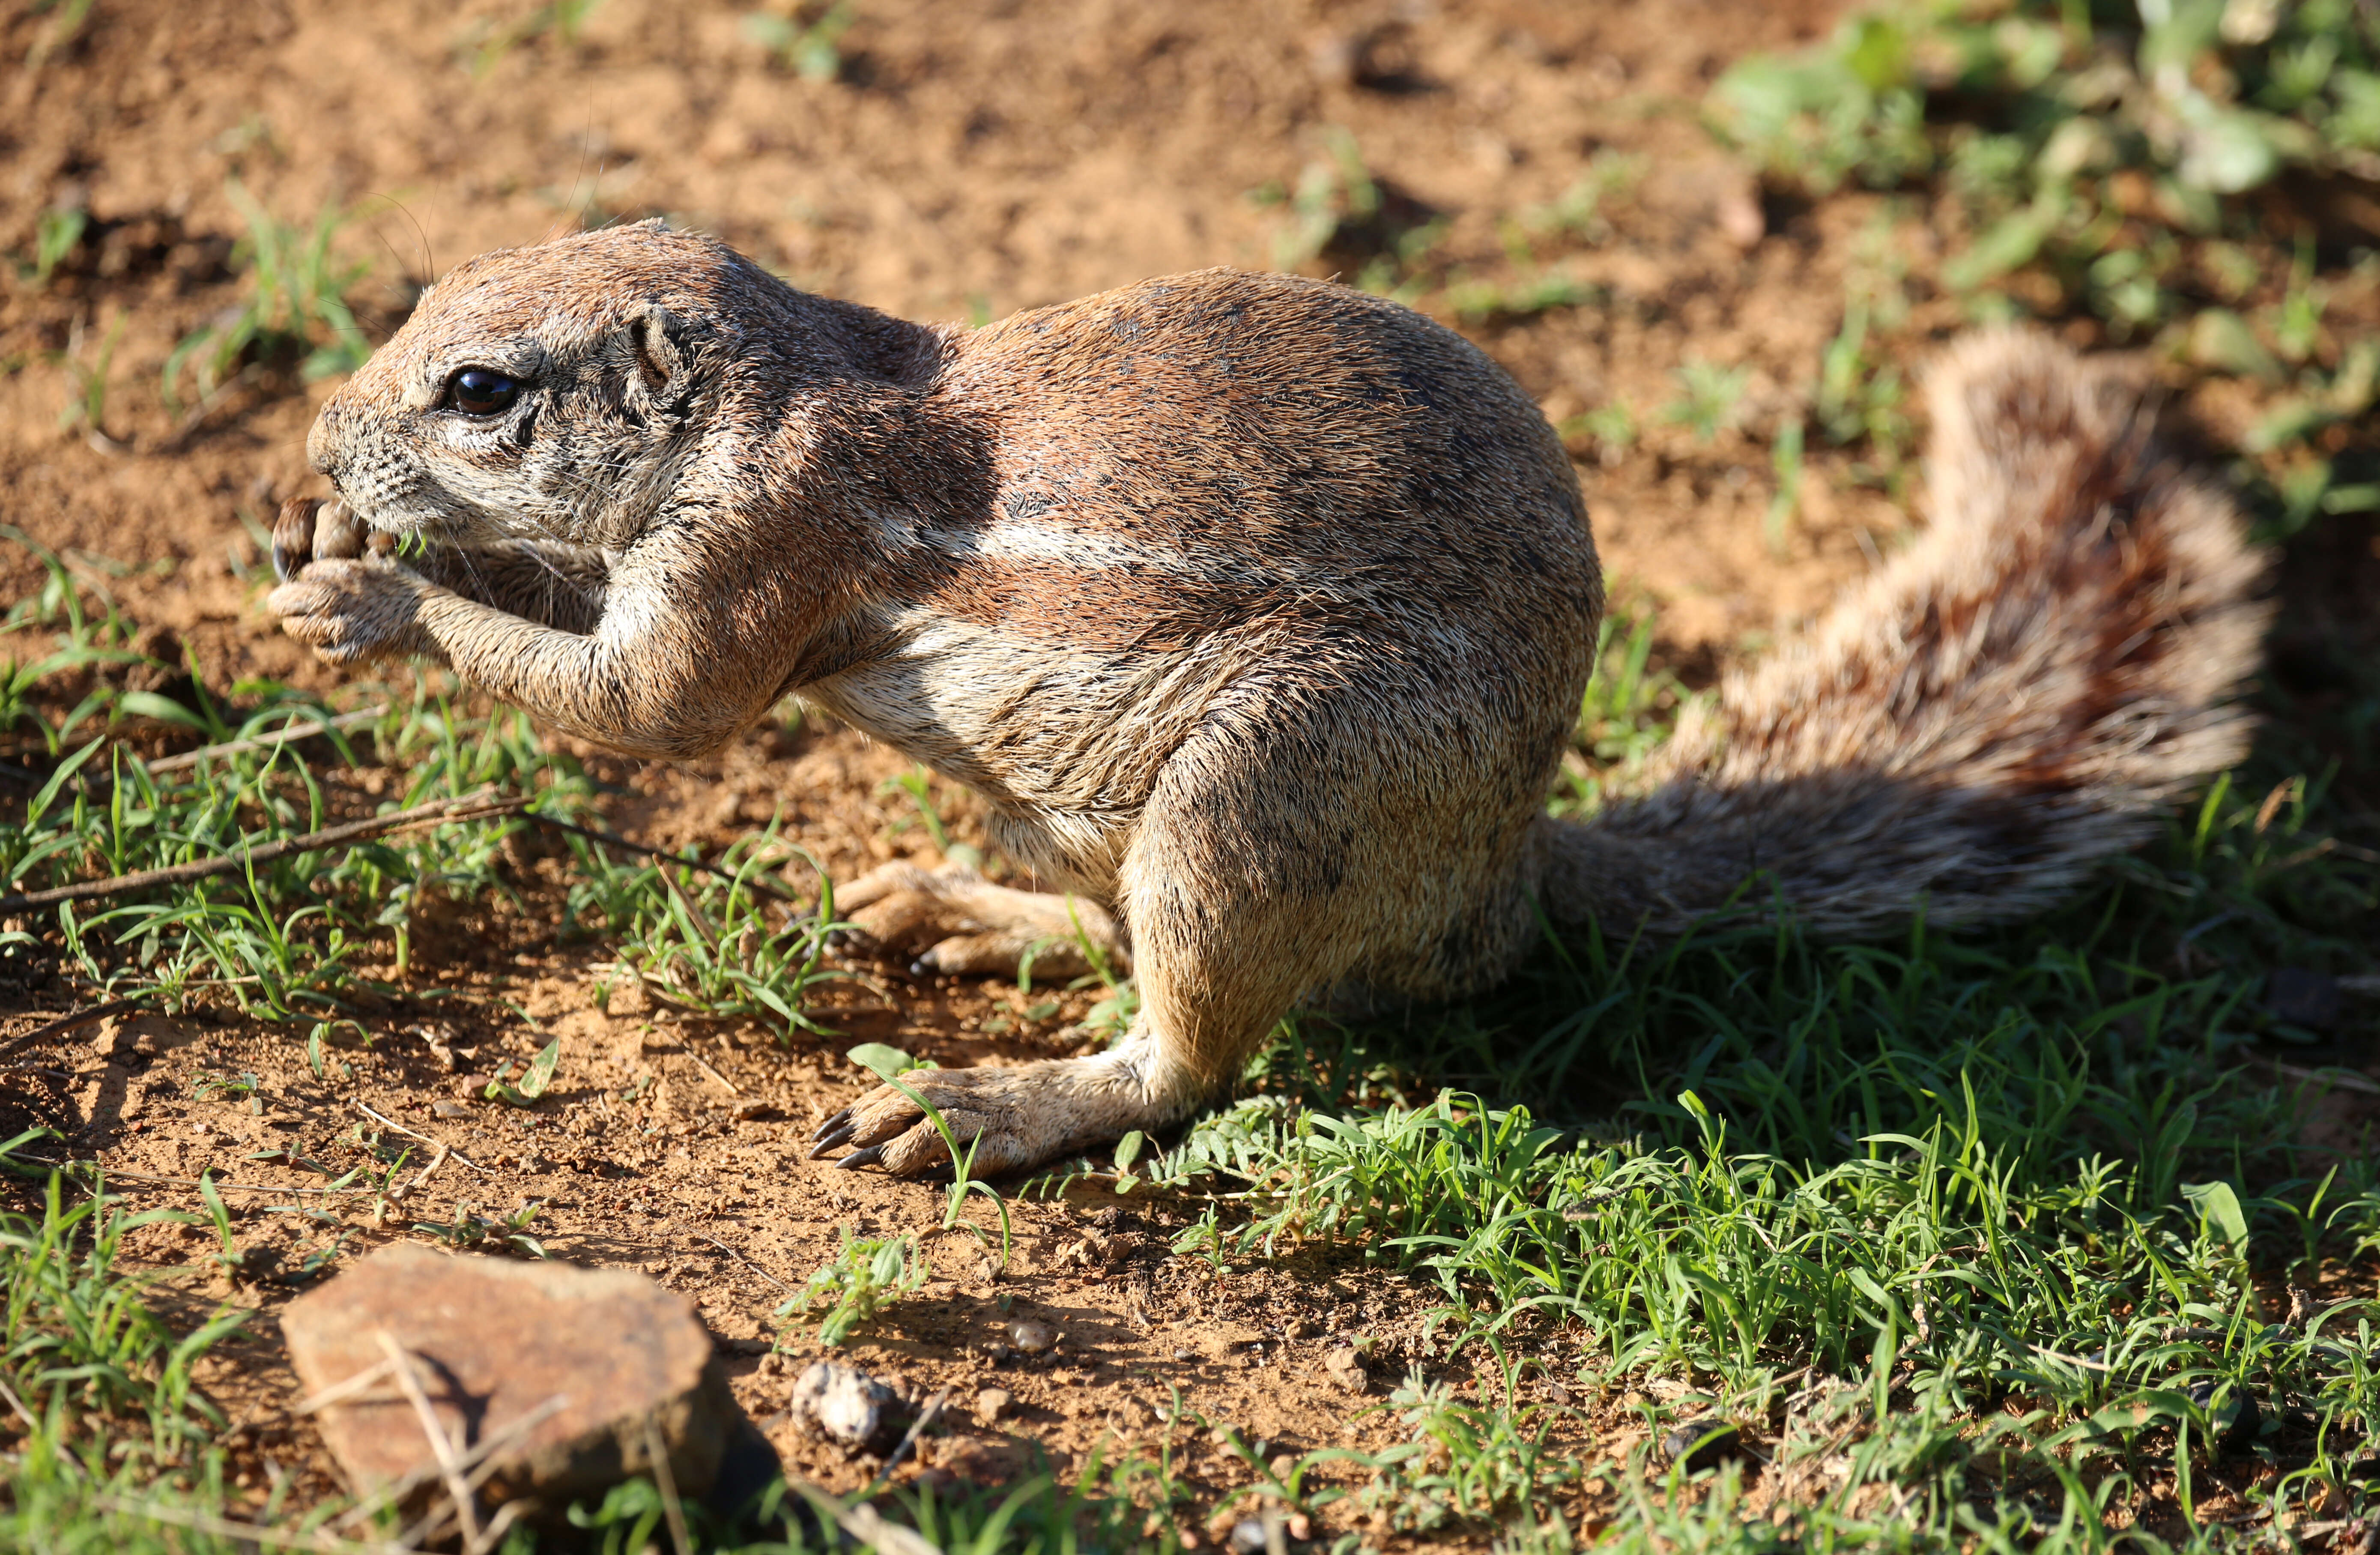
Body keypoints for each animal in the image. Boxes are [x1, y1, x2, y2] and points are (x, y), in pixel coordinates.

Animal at [265, 221, 2266, 1176]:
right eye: (426, 296)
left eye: (479, 389)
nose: (325, 436)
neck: (780, 382)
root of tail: (1506, 874)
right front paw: (319, 533)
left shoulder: (757, 549)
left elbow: (645, 707)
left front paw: (375, 589)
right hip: (1093, 801)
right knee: (1106, 931)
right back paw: (968, 911)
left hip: (1264, 783)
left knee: (1189, 1055)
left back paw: (995, 1105)